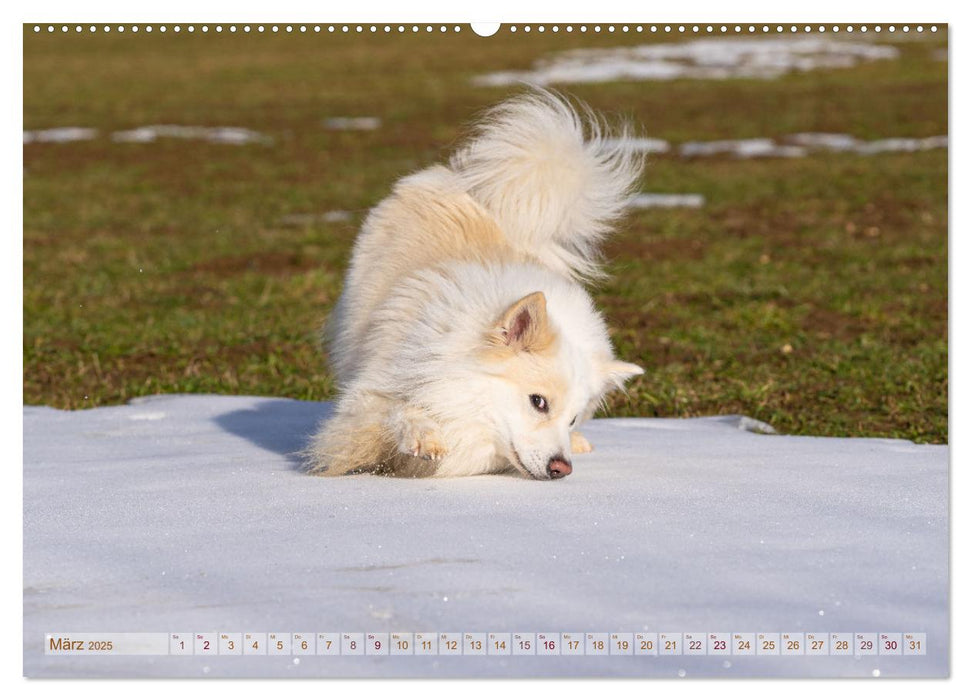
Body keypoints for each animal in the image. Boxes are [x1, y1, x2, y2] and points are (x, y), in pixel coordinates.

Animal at [308, 89, 644, 482]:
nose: (561, 468)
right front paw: (424, 435)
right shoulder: (364, 398)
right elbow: (396, 410)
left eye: (573, 417)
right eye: (539, 403)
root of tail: (461, 179)